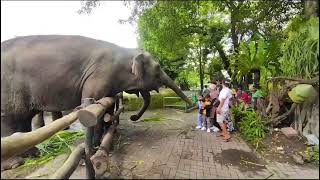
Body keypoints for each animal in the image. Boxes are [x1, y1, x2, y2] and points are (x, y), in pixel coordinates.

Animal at [1, 34, 192, 138]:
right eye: (158, 68)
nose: (133, 117)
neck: (125, 50)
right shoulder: (99, 75)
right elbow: (91, 103)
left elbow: (107, 104)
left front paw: (108, 129)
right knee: (13, 118)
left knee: (23, 118)